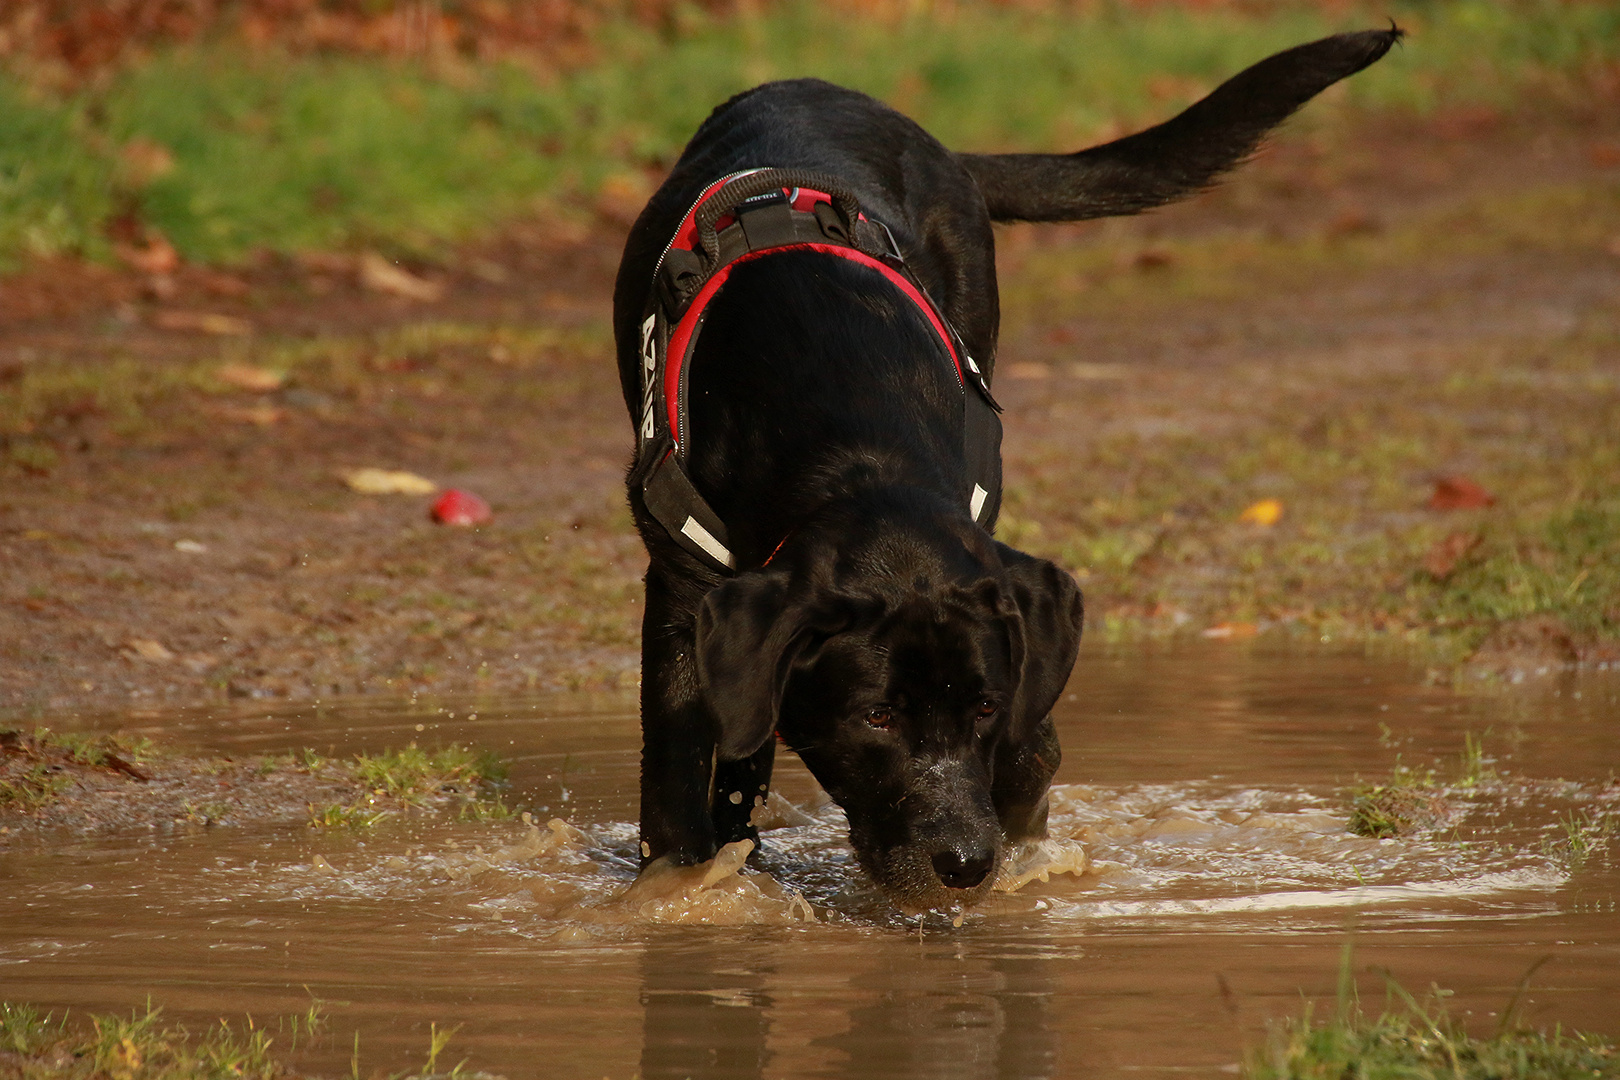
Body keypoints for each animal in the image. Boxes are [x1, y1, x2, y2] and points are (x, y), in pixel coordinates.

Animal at [612, 29, 1399, 913]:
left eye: (984, 705)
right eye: (876, 718)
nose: (961, 862)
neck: (851, 441)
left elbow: (1031, 746)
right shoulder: (685, 597)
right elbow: (678, 765)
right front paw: (681, 891)